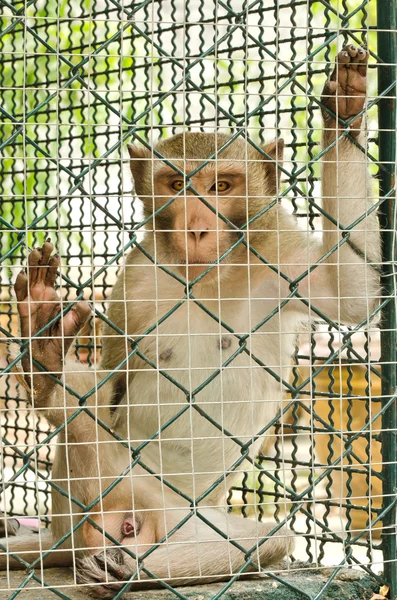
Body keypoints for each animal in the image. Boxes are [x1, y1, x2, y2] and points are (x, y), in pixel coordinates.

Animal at [0, 43, 380, 600]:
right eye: (177, 184)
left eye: (220, 185)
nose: (197, 227)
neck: (203, 278)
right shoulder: (134, 283)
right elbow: (109, 385)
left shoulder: (278, 254)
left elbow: (351, 293)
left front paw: (344, 112)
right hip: (101, 489)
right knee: (83, 424)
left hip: (192, 522)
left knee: (266, 541)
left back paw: (132, 569)